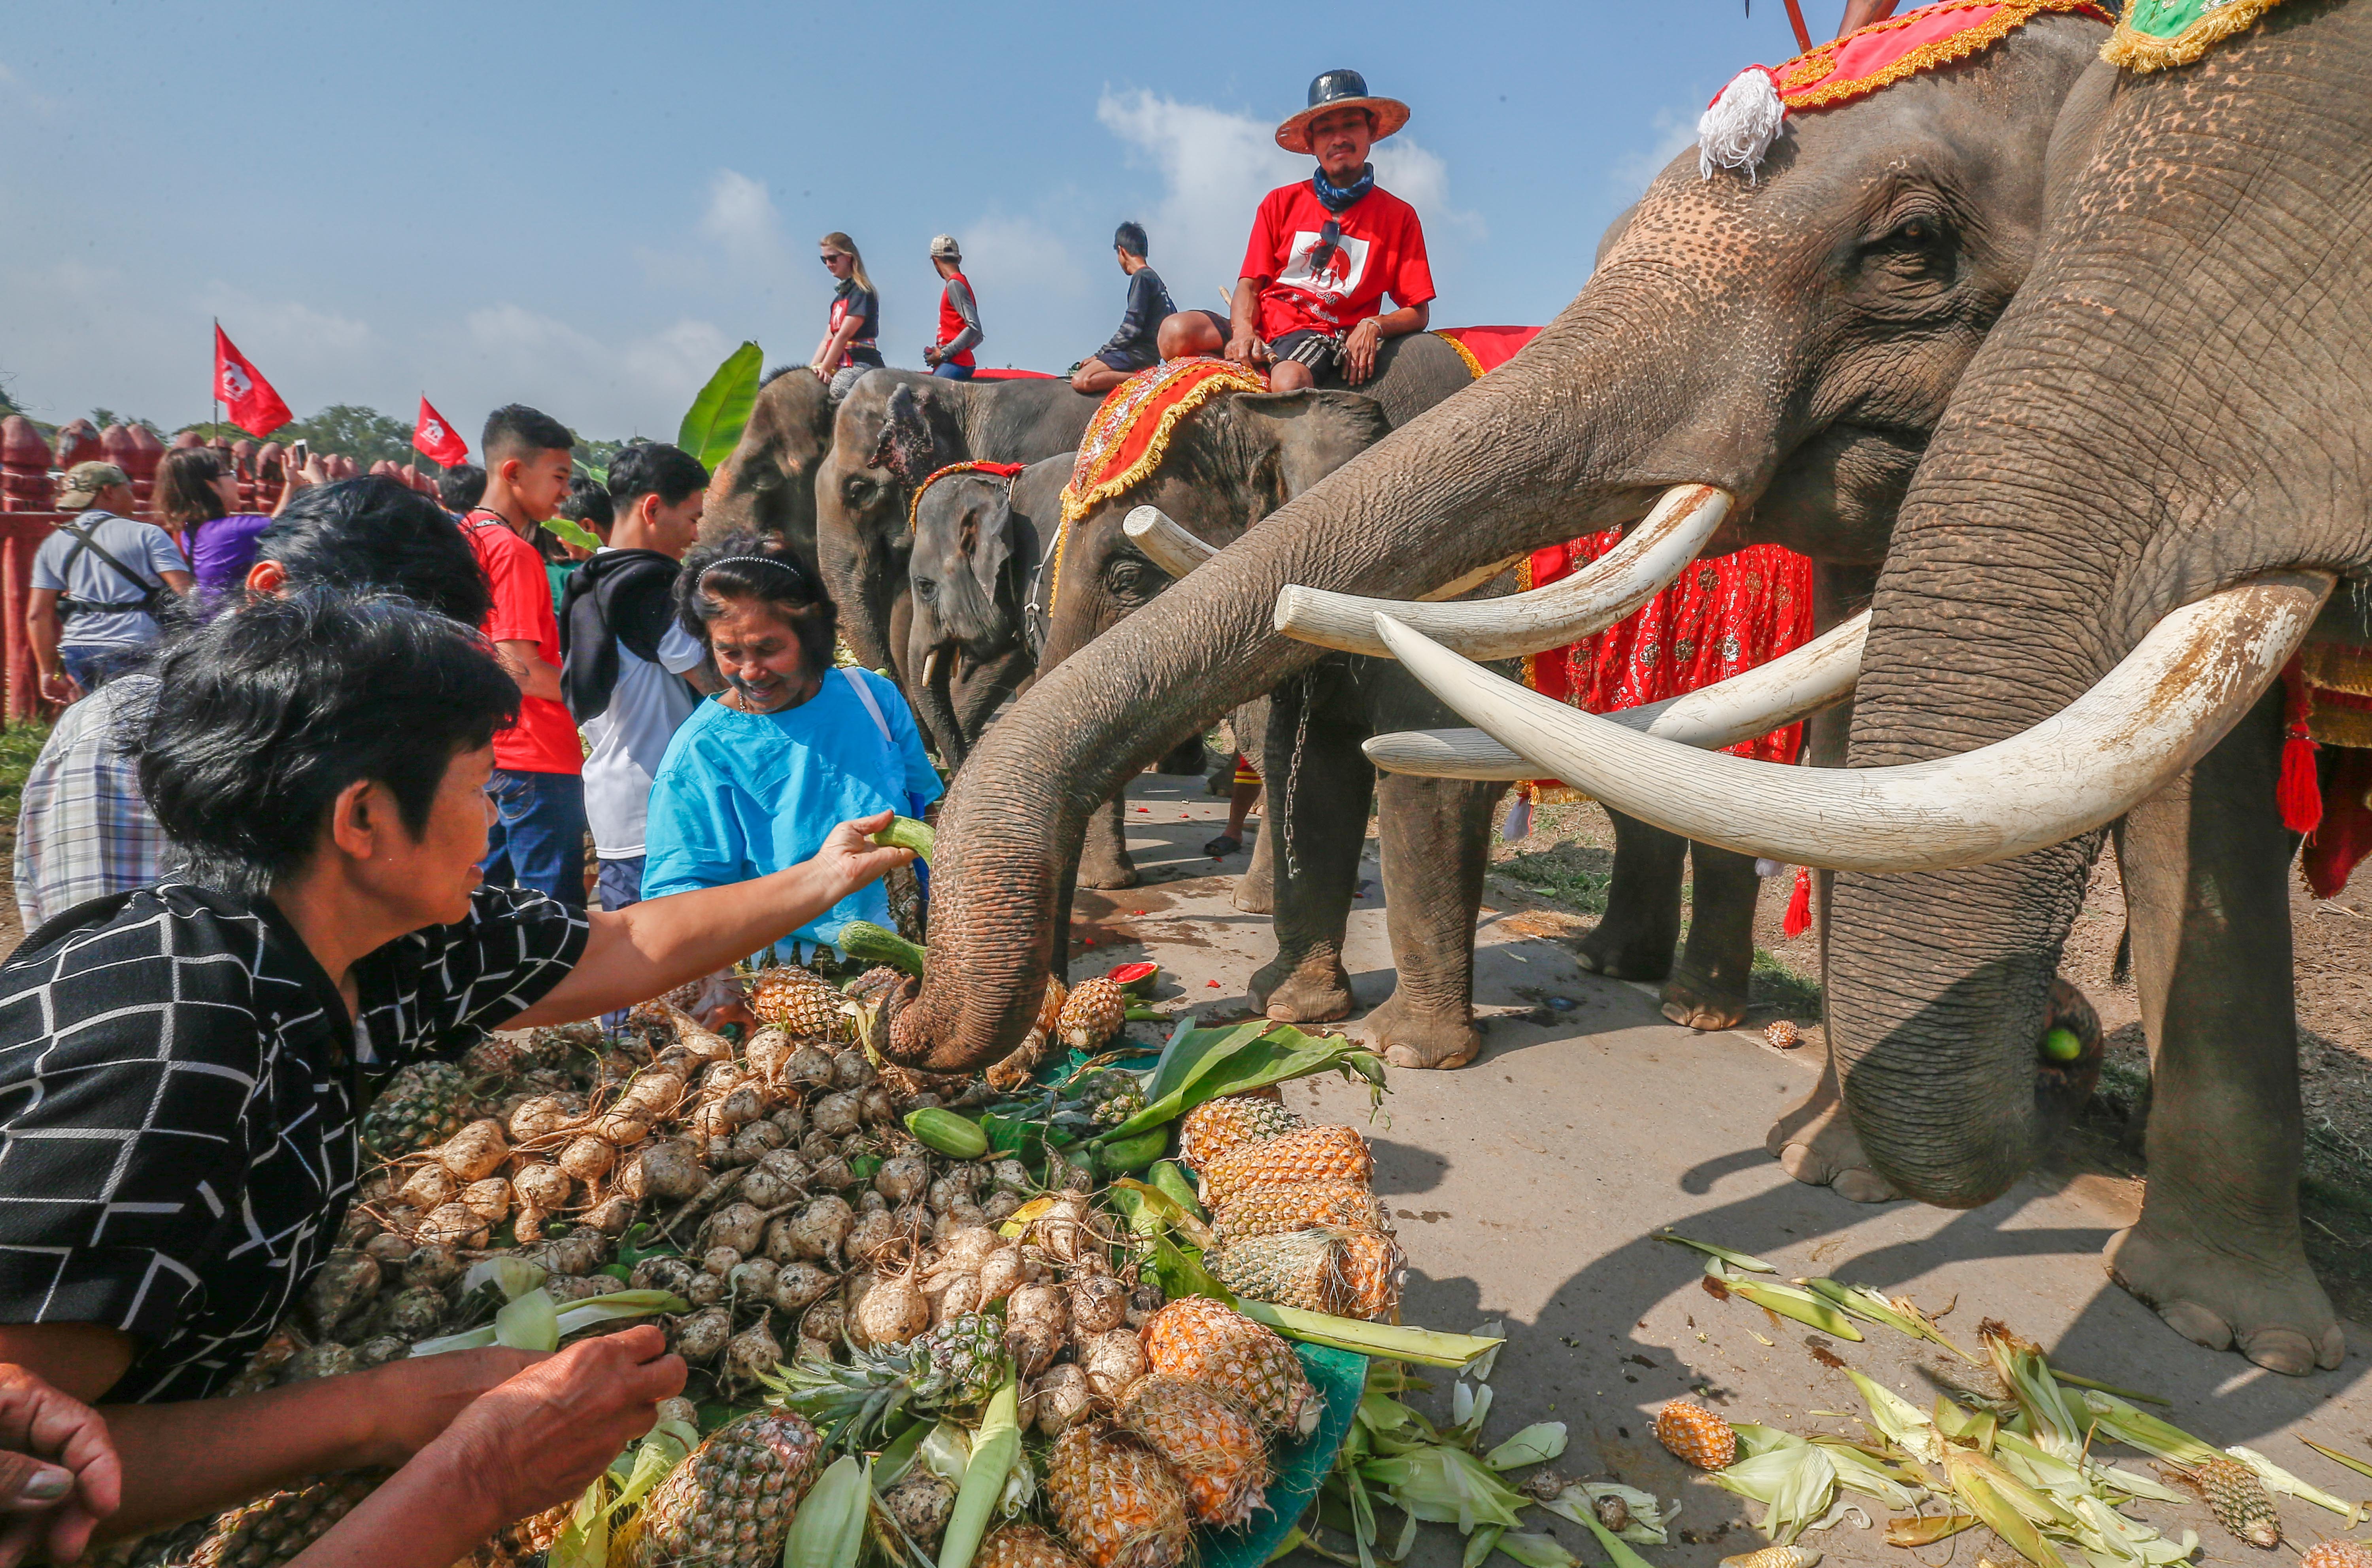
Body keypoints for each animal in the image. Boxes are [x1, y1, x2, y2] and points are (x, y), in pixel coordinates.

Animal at [892, 9, 2116, 1077]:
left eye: (1130, 570)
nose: (914, 1022)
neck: (1291, 387)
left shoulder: (1454, 578)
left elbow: (1411, 777)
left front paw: (1407, 1053)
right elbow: (1315, 765)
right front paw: (1290, 1006)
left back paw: (1696, 1007)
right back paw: (1610, 962)